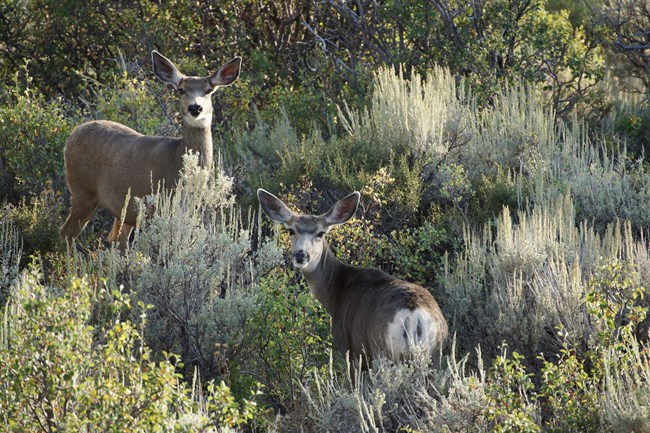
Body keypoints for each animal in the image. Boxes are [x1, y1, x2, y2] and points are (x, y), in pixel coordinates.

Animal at [59, 51, 242, 248]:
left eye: (208, 90)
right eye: (181, 90)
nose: (195, 107)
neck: (176, 159)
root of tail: (72, 134)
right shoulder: (156, 209)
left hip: (120, 208)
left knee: (116, 239)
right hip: (82, 190)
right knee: (67, 232)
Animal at [257, 189, 448, 369]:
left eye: (320, 233)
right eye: (291, 230)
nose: (300, 255)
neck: (335, 295)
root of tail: (413, 316)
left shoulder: (350, 351)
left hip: (382, 352)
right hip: (434, 355)